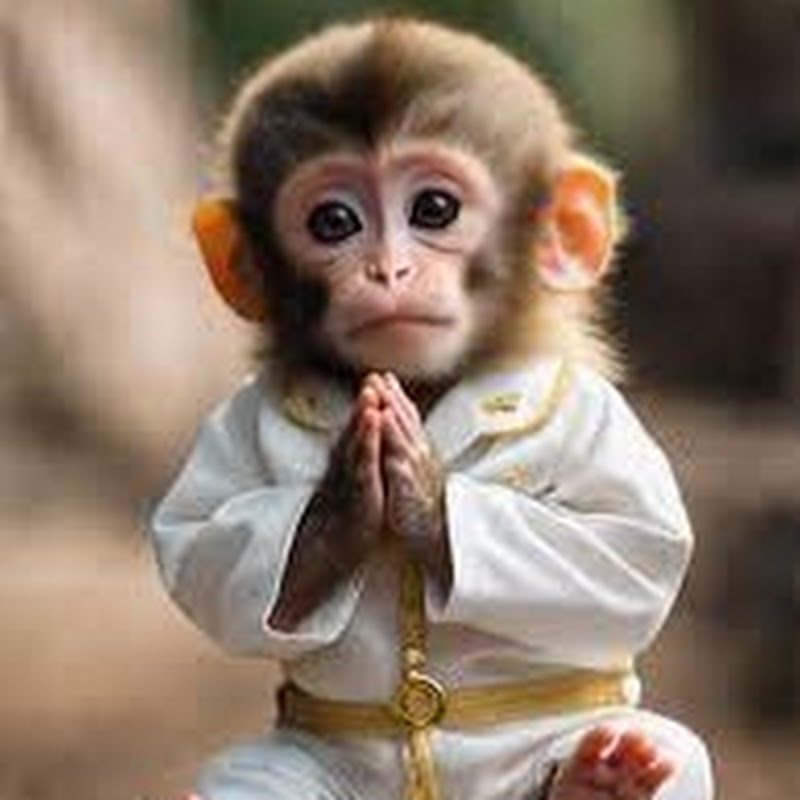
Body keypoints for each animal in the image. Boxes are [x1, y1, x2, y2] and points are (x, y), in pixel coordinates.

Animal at [150, 17, 713, 800]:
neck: (429, 383)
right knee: (249, 780)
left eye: (434, 210)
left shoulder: (596, 417)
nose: (389, 270)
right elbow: (199, 542)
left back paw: (604, 775)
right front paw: (343, 500)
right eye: (334, 221)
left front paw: (419, 489)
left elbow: (626, 546)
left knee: (671, 750)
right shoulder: (228, 427)